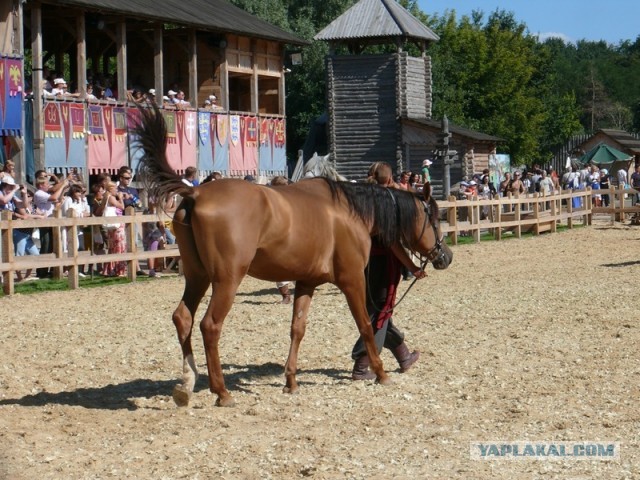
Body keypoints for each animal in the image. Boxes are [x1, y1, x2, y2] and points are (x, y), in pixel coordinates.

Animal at [132, 105, 452, 404]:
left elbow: (297, 328)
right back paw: (221, 392)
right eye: (435, 219)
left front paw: (291, 380)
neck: (351, 212)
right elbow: (365, 324)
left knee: (182, 318)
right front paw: (381, 372)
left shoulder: (306, 282)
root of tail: (196, 193)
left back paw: (187, 384)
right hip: (226, 280)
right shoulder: (352, 280)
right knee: (209, 326)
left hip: (197, 276)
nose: (445, 256)